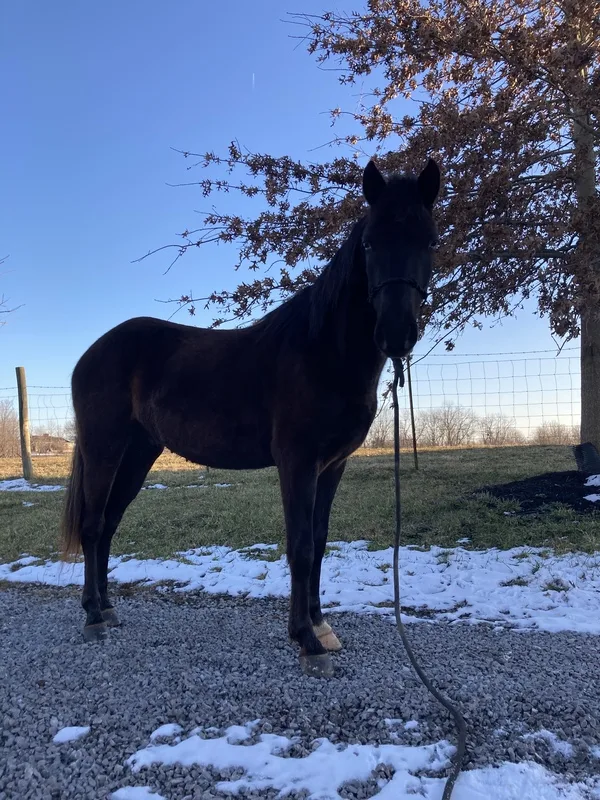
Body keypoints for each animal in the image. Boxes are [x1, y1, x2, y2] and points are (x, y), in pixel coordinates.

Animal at [61, 157, 440, 677]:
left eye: (430, 241)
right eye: (369, 243)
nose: (397, 333)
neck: (322, 351)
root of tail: (91, 353)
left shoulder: (333, 465)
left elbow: (319, 541)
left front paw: (320, 625)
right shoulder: (297, 462)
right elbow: (300, 546)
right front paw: (306, 640)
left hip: (139, 454)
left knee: (110, 524)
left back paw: (109, 608)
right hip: (105, 448)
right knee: (94, 524)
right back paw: (93, 618)